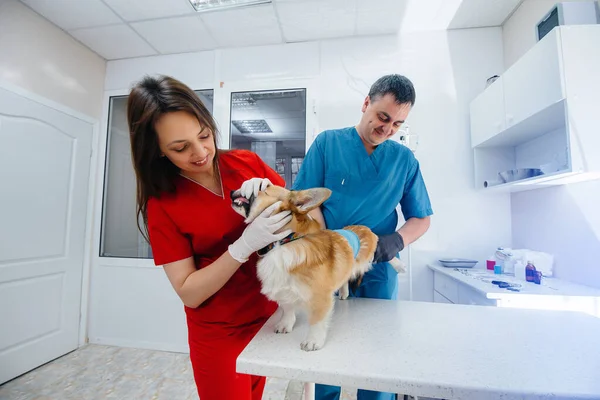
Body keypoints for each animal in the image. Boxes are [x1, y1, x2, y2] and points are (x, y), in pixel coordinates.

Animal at [230, 184, 408, 350]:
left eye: (264, 188)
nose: (232, 191)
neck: (284, 242)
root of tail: (358, 227)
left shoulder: (320, 298)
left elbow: (316, 321)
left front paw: (312, 341)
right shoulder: (284, 291)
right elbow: (287, 309)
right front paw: (285, 324)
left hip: (370, 251)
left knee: (380, 245)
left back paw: (399, 265)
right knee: (345, 276)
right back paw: (344, 292)